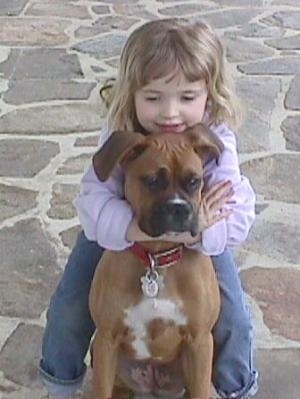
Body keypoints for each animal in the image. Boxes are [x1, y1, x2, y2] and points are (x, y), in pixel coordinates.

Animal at [88, 125, 223, 399]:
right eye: (152, 181)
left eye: (194, 181)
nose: (179, 208)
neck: (157, 260)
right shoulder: (107, 339)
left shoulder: (200, 342)